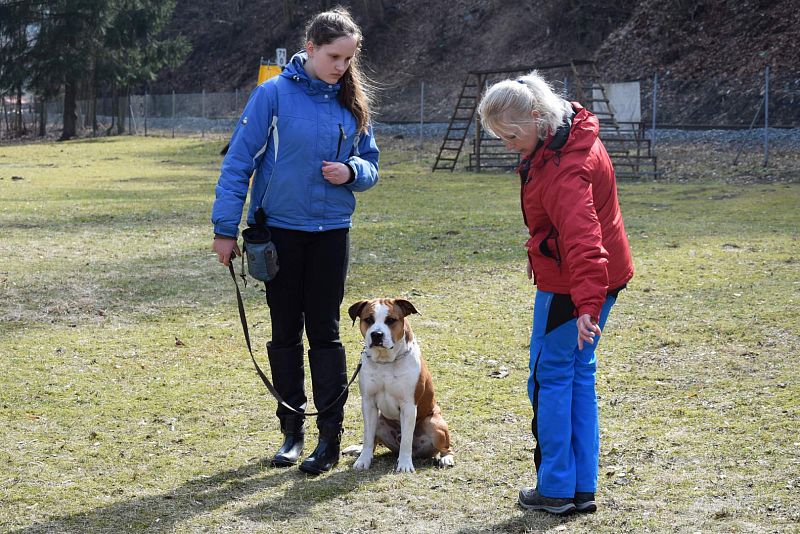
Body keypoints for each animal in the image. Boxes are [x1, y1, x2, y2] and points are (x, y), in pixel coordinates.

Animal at [346, 300, 454, 476]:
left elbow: (406, 441)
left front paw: (404, 464)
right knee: (373, 441)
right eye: (368, 319)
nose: (376, 334)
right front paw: (363, 460)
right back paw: (359, 450)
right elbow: (368, 437)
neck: (385, 362)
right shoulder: (368, 404)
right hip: (379, 420)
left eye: (391, 320)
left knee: (446, 447)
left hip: (434, 424)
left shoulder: (408, 406)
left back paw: (446, 458)